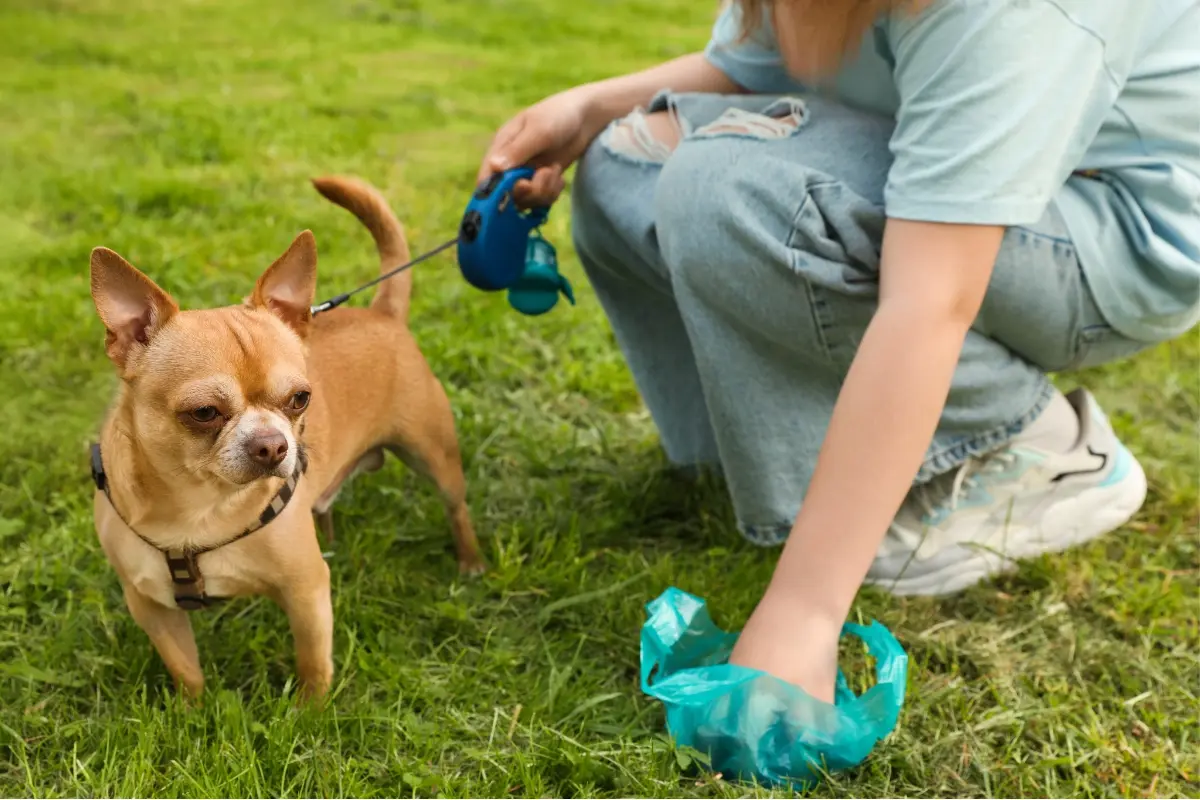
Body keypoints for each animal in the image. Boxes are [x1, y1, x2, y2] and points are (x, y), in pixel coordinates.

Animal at [88, 176, 484, 700]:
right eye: (204, 413)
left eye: (300, 399)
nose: (273, 445)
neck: (199, 509)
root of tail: (383, 313)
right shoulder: (151, 606)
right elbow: (186, 670)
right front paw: (193, 711)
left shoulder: (306, 591)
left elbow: (313, 661)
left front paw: (311, 711)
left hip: (433, 456)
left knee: (456, 508)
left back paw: (470, 561)